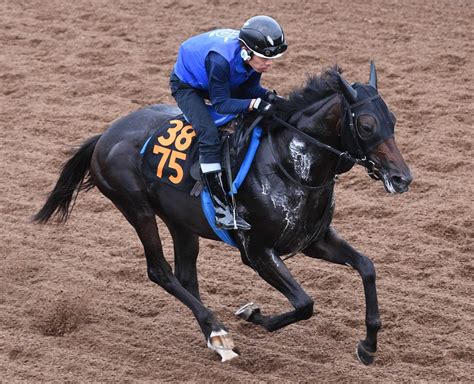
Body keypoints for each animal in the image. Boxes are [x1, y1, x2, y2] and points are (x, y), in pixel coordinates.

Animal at [34, 63, 412, 364]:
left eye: (392, 120)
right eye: (366, 125)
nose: (402, 178)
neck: (291, 165)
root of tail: (104, 136)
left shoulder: (313, 240)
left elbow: (367, 267)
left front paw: (368, 346)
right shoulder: (257, 252)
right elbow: (305, 303)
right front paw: (253, 314)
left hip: (179, 221)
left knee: (185, 274)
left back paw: (215, 339)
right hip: (136, 208)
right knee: (160, 271)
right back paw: (217, 331)